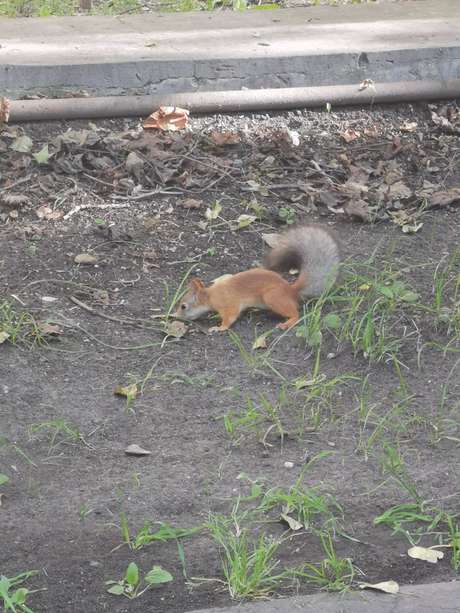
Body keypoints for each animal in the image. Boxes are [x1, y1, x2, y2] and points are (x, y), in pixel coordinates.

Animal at [175, 225, 340, 333]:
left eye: (183, 306)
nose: (174, 316)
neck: (211, 295)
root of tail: (290, 290)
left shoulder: (228, 305)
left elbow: (229, 318)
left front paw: (219, 327)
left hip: (272, 297)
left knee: (296, 314)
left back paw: (286, 323)